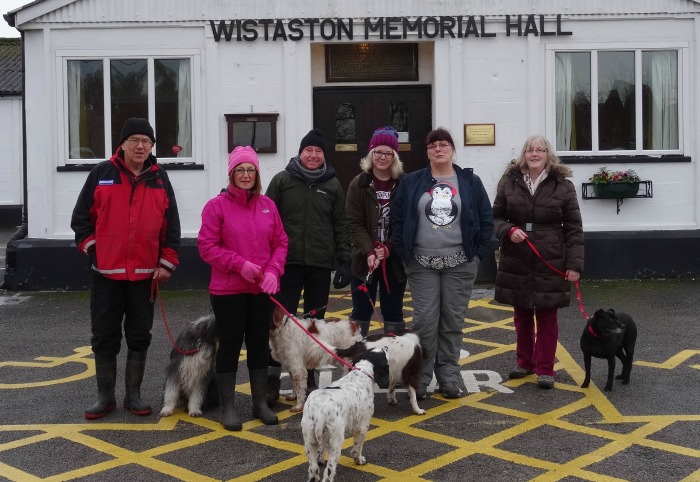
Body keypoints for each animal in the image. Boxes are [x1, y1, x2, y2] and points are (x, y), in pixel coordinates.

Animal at [300, 346, 392, 482]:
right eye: (384, 352)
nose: (386, 347)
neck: (361, 373)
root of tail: (320, 413)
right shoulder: (362, 427)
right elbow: (357, 448)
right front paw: (359, 460)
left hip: (309, 440)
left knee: (313, 469)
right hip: (336, 442)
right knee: (329, 471)